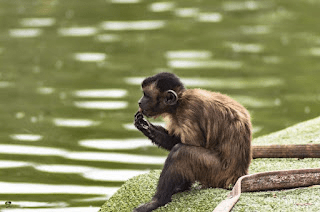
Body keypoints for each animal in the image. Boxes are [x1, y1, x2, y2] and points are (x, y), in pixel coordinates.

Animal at [133, 72, 252, 211]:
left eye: (146, 95)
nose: (139, 102)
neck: (179, 102)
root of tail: (238, 175)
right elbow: (175, 140)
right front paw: (144, 126)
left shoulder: (188, 112)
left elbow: (189, 145)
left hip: (219, 174)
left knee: (180, 152)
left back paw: (158, 201)